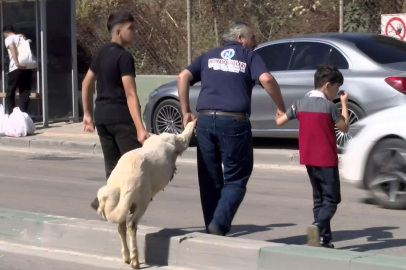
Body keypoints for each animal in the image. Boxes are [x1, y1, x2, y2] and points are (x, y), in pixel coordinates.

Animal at [93, 121, 195, 268]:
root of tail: (124, 183)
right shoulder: (177, 141)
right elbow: (185, 137)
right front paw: (193, 122)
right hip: (143, 202)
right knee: (131, 225)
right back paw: (134, 260)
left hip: (124, 204)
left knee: (121, 226)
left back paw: (126, 257)